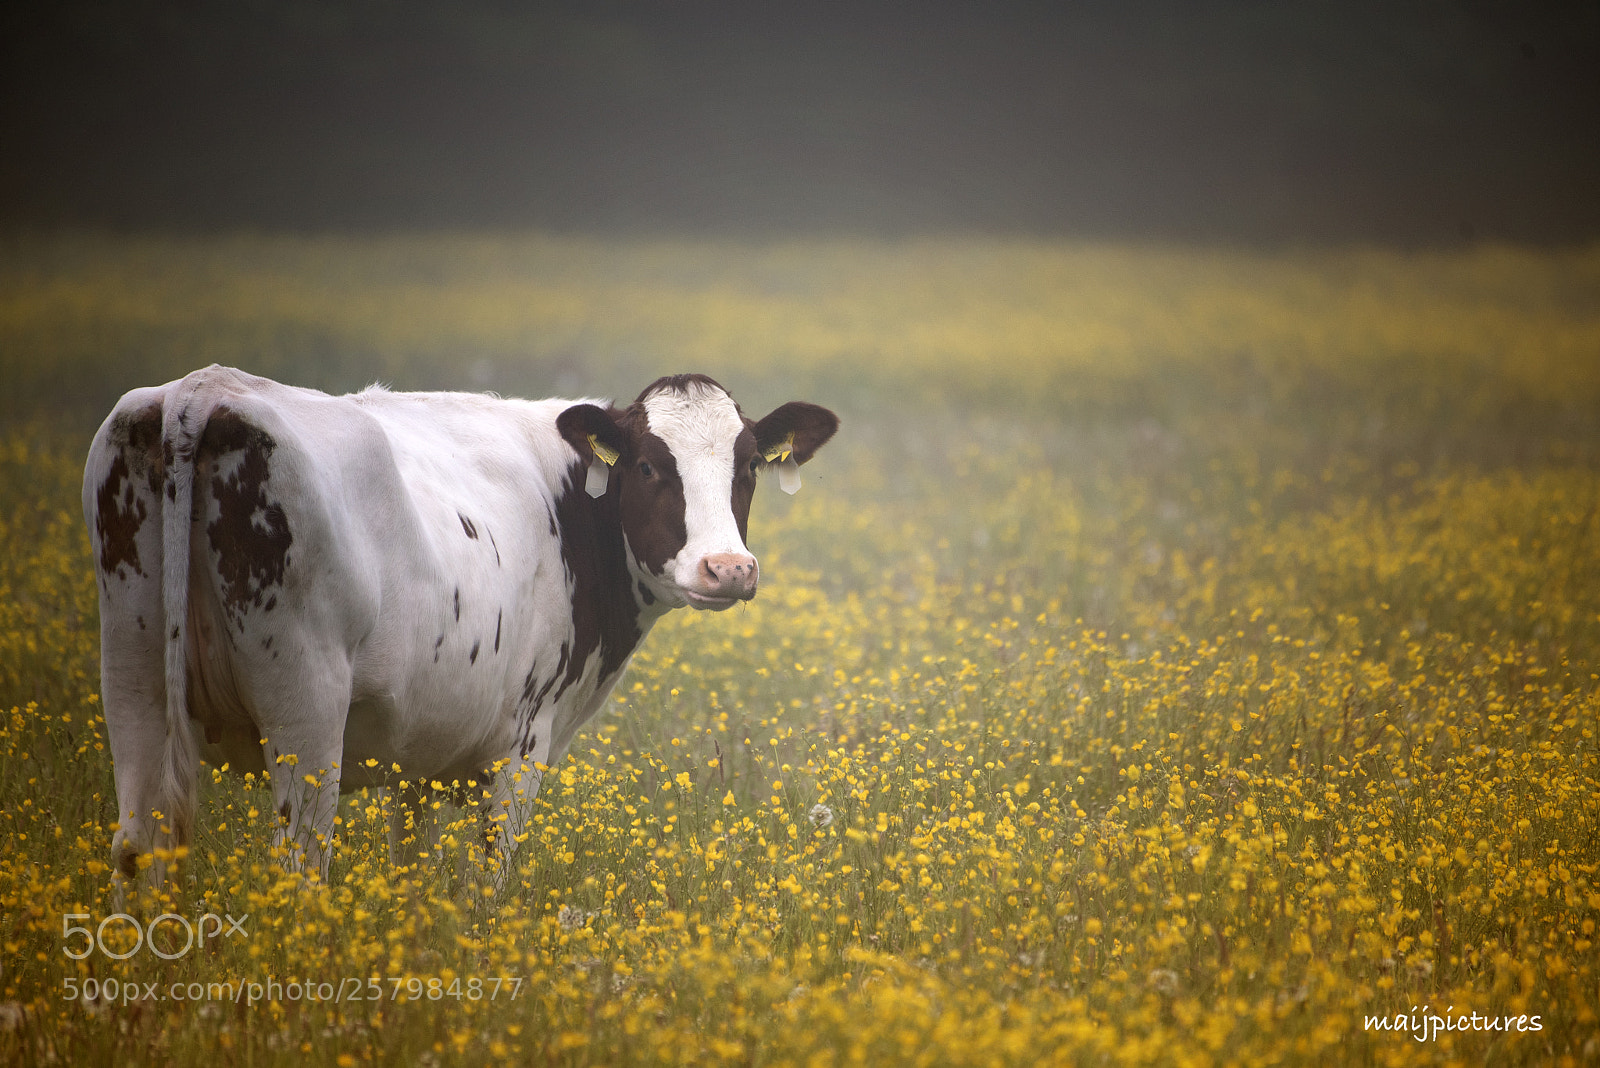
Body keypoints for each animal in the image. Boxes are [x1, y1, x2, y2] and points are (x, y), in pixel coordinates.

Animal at [82, 365, 837, 888]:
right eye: (650, 465)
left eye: (748, 466)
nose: (728, 568)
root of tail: (205, 391)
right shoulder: (521, 748)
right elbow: (485, 884)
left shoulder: (419, 751)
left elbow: (412, 873)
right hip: (306, 701)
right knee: (299, 865)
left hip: (134, 675)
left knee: (137, 848)